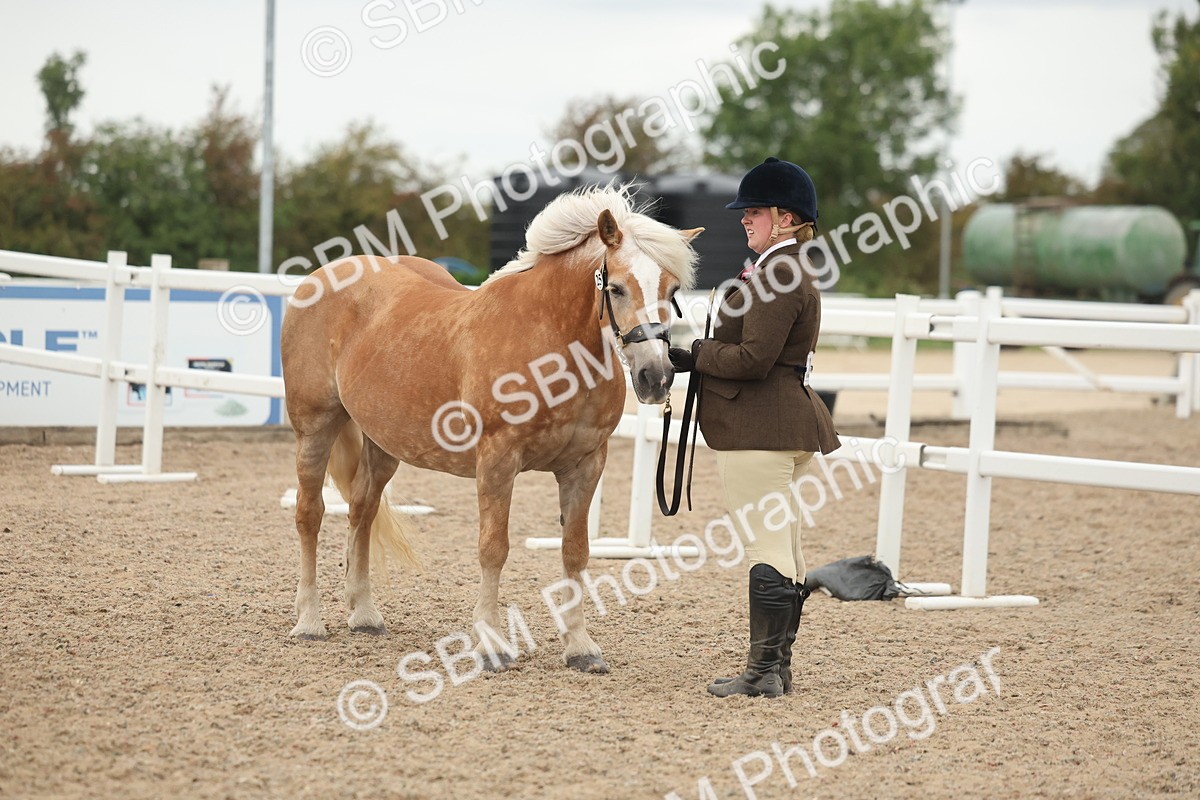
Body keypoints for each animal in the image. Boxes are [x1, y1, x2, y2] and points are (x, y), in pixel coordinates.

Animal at [280, 185, 701, 673]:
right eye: (614, 287)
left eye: (672, 289)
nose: (656, 377)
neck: (550, 341)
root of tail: (321, 278)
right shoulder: (498, 461)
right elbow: (493, 548)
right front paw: (491, 644)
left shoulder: (585, 465)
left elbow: (575, 551)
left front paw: (580, 647)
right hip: (315, 427)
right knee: (309, 515)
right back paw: (309, 621)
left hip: (383, 444)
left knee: (361, 511)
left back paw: (364, 614)